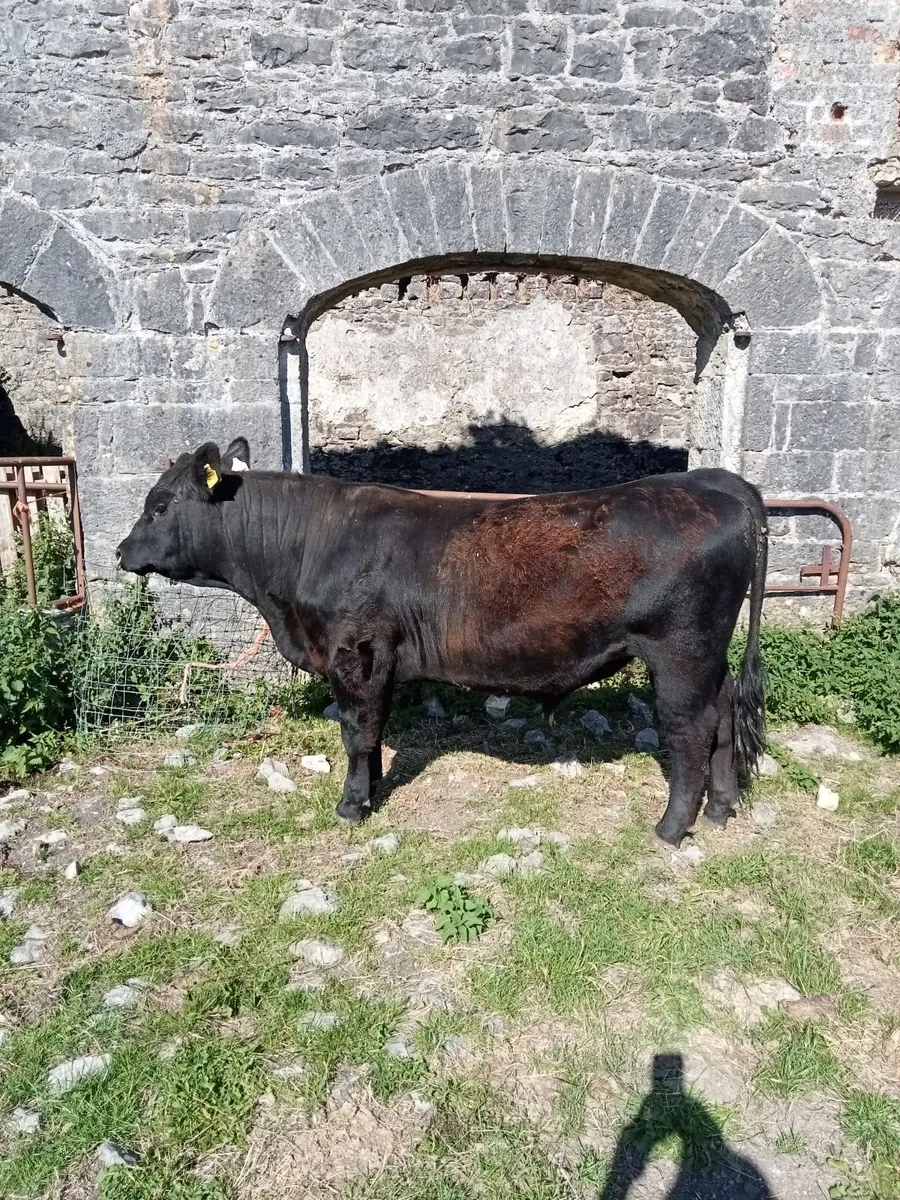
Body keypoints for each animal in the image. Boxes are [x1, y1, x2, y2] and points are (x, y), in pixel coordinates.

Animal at [117, 438, 767, 847]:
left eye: (160, 504)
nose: (121, 551)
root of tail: (716, 482)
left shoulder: (356, 654)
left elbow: (356, 732)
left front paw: (351, 805)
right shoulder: (374, 664)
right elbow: (373, 731)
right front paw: (373, 787)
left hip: (680, 653)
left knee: (691, 729)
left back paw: (672, 827)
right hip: (709, 657)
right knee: (726, 710)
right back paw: (720, 809)